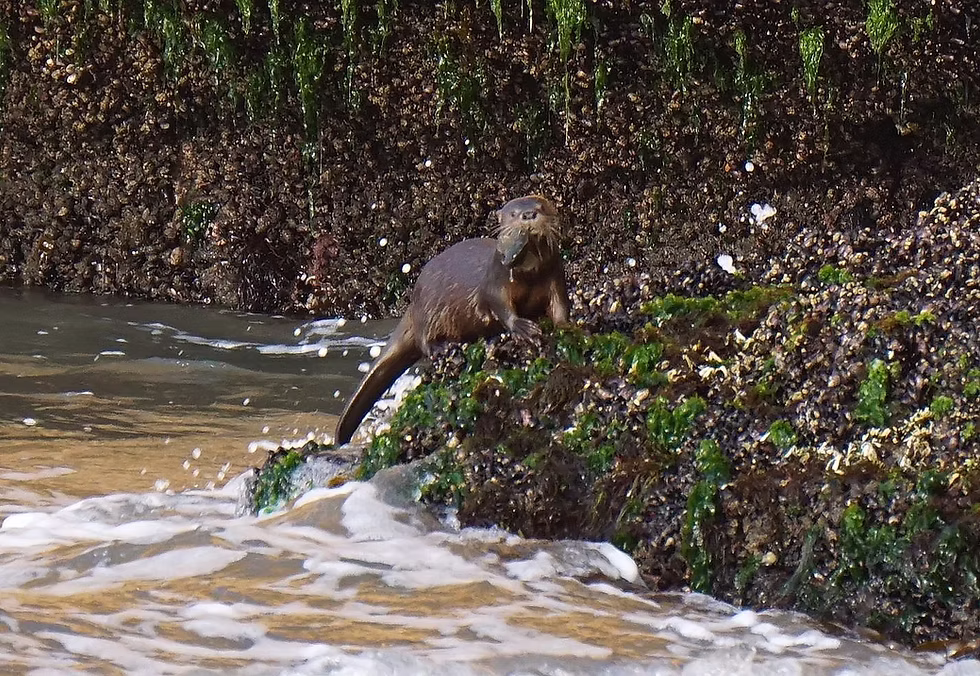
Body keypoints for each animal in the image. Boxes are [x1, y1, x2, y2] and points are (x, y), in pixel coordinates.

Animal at [333, 195, 571, 446]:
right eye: (513, 213)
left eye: (540, 207)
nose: (528, 215)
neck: (529, 273)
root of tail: (412, 303)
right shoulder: (495, 282)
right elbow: (500, 306)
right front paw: (523, 327)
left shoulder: (555, 276)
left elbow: (560, 304)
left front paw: (566, 326)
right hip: (429, 310)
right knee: (424, 341)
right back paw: (443, 347)